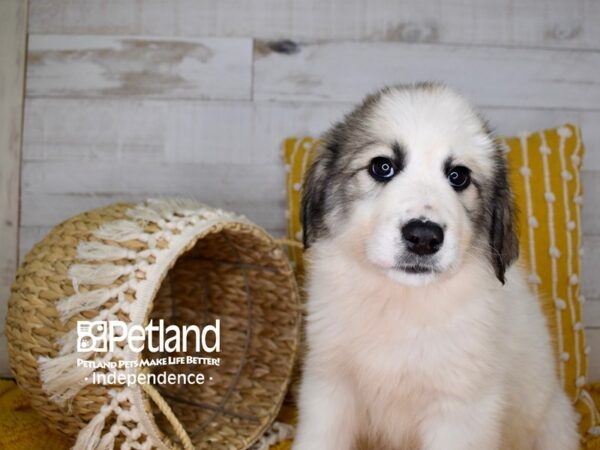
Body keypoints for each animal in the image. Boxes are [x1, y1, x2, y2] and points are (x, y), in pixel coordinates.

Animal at [292, 82, 580, 448]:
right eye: (382, 167)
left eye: (458, 176)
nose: (423, 237)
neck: (401, 301)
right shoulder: (329, 388)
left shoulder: (459, 410)